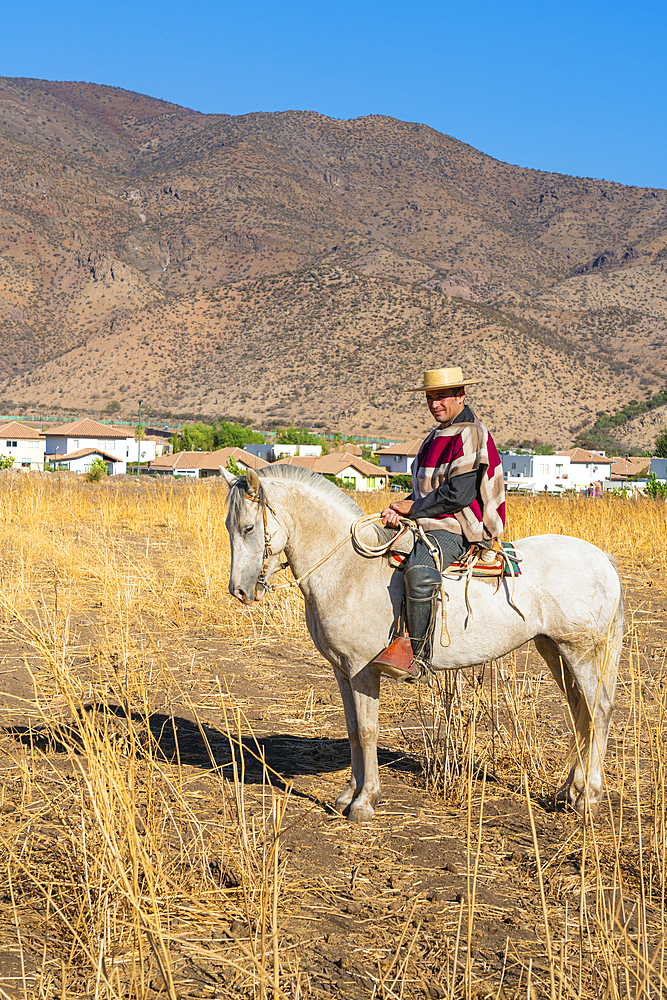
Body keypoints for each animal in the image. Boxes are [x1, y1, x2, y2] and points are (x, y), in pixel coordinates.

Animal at [222, 464, 624, 824]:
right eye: (230, 526)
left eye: (248, 527)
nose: (239, 591)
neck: (348, 569)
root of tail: (601, 559)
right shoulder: (342, 670)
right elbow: (352, 729)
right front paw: (347, 796)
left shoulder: (362, 671)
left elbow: (367, 730)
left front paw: (365, 802)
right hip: (553, 649)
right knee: (581, 712)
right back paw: (568, 792)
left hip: (581, 652)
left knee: (599, 711)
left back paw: (588, 798)